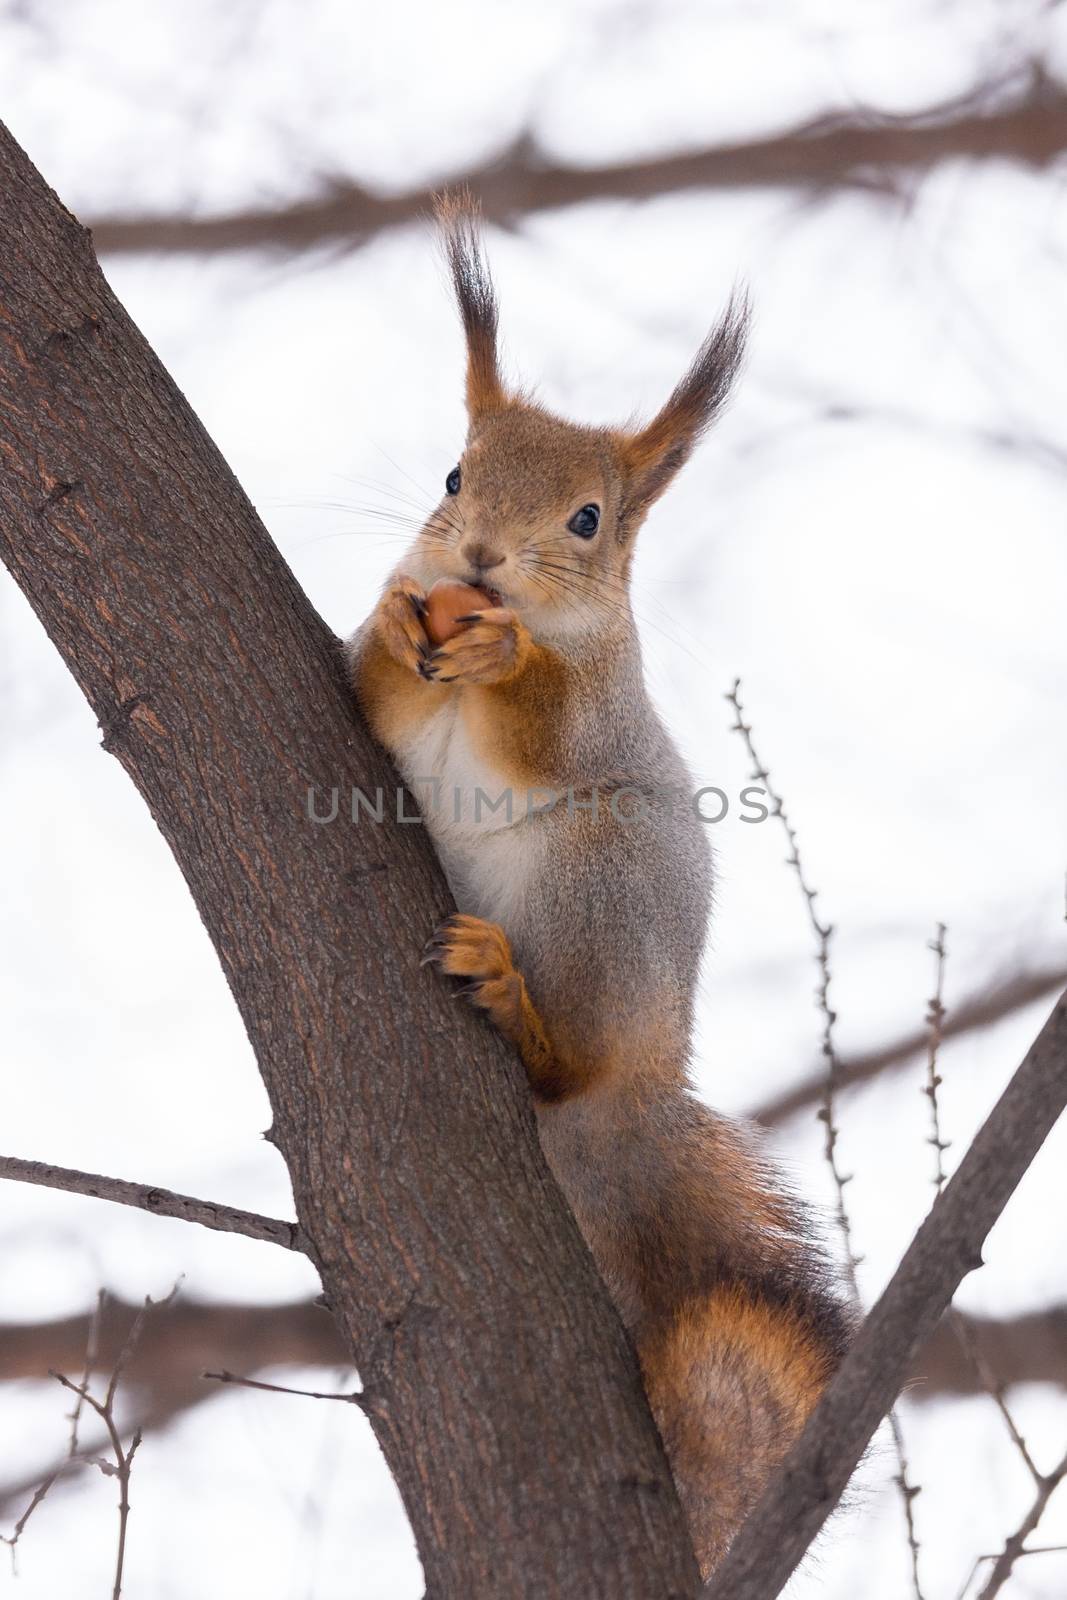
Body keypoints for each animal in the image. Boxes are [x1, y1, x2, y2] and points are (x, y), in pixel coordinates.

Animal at [350, 196, 851, 1574]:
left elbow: (547, 723)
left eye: (585, 521)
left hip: (598, 890)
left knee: (563, 1053)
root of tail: (637, 1089)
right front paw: (404, 611)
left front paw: (501, 651)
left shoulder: (601, 716)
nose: (476, 558)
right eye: (453, 476)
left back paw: (513, 997)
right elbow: (368, 679)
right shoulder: (378, 696)